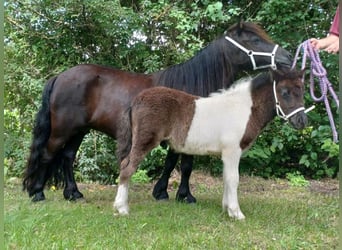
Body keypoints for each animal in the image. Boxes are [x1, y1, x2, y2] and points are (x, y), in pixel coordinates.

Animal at [22, 21, 292, 202]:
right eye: (254, 40)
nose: (288, 57)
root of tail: (60, 77)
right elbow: (185, 165)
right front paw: (184, 196)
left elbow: (172, 162)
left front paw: (162, 192)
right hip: (63, 129)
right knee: (47, 154)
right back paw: (37, 193)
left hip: (79, 130)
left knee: (67, 157)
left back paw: (73, 193)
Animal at [115, 69, 308, 220]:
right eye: (284, 92)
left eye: (302, 91)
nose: (302, 121)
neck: (243, 109)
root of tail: (137, 100)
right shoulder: (232, 151)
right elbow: (233, 179)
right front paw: (236, 213)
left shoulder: (226, 154)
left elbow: (226, 178)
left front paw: (226, 209)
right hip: (144, 141)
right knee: (127, 169)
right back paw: (121, 208)